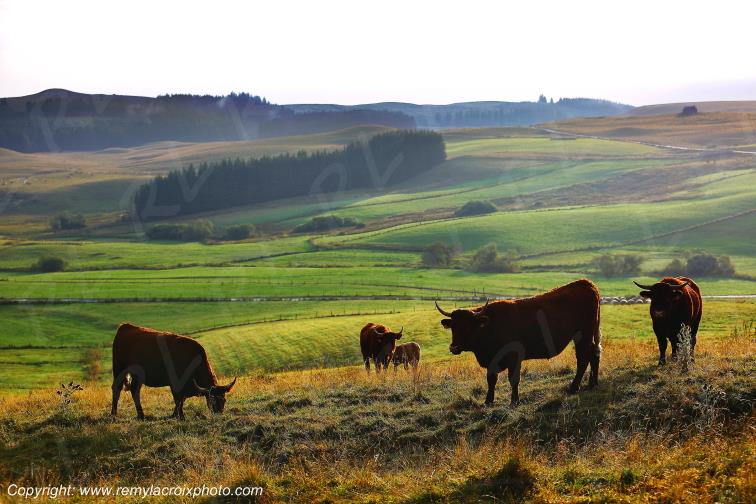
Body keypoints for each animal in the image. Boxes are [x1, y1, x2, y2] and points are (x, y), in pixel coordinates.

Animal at [436, 279, 602, 406]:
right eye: (453, 327)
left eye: (469, 326)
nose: (454, 347)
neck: (491, 326)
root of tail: (586, 283)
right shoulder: (492, 361)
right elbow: (491, 380)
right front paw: (488, 401)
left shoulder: (514, 357)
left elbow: (513, 379)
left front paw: (514, 401)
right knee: (594, 354)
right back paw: (592, 384)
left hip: (583, 335)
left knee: (583, 359)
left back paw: (574, 387)